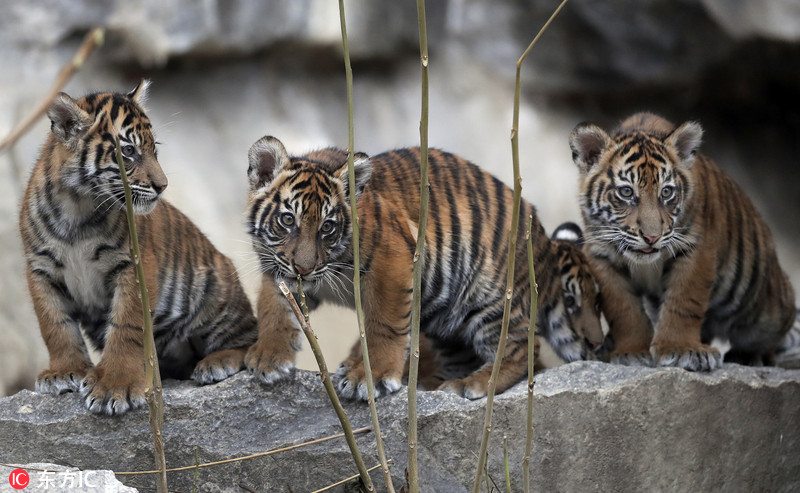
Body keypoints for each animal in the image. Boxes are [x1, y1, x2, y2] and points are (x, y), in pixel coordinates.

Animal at [19, 81, 257, 415]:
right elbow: (54, 324)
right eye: (129, 151)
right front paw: (64, 372)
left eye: (154, 150)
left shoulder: (134, 266)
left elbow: (126, 326)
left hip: (216, 292)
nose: (163, 186)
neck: (78, 206)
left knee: (249, 339)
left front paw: (114, 385)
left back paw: (216, 364)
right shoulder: (40, 269)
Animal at [243, 136, 602, 400]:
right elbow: (273, 307)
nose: (304, 270)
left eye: (328, 227)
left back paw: (471, 385)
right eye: (287, 220)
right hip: (448, 319)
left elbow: (383, 324)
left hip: (492, 299)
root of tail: (543, 239)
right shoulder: (279, 269)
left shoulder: (392, 262)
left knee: (521, 349)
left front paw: (368, 378)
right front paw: (268, 357)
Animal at [568, 112, 795, 370]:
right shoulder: (600, 255)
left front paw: (683, 349)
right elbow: (623, 309)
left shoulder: (696, 249)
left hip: (767, 313)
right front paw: (631, 351)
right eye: (626, 192)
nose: (652, 237)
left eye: (666, 192)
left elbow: (684, 303)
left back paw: (748, 356)